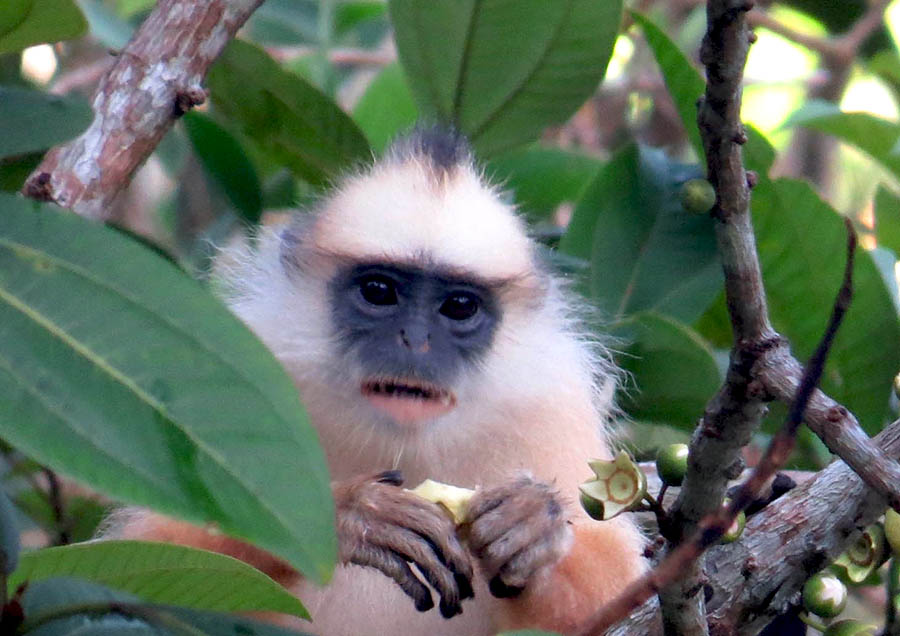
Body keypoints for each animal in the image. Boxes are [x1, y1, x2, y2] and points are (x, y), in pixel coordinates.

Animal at [109, 127, 647, 635]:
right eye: (378, 291)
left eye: (459, 306)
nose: (415, 340)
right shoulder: (250, 361)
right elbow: (138, 566)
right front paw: (350, 516)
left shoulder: (551, 401)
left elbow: (615, 603)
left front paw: (534, 527)